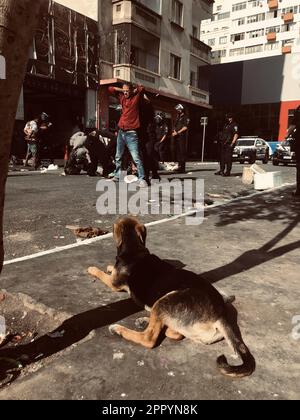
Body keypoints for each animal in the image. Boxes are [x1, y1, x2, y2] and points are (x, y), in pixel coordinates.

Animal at [89, 217, 255, 378]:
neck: (135, 248)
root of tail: (220, 314)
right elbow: (110, 269)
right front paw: (109, 267)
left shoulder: (113, 284)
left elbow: (101, 273)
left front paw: (92, 269)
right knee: (173, 332)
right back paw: (145, 321)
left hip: (165, 300)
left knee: (149, 339)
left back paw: (119, 329)